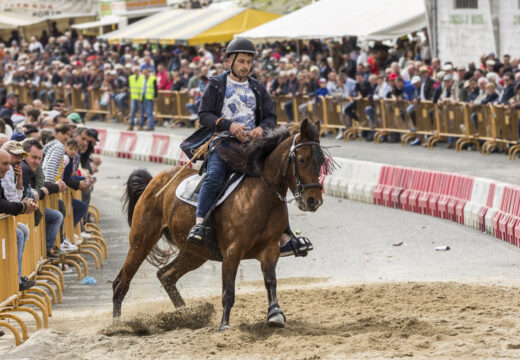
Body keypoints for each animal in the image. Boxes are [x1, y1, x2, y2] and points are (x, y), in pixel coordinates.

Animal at [115, 119, 330, 332]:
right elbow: (228, 290)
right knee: (121, 283)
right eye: (301, 160)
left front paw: (275, 314)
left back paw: (186, 315)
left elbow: (271, 281)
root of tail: (154, 182)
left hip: (194, 253)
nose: (314, 201)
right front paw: (224, 325)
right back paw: (117, 325)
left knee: (166, 276)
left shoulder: (270, 249)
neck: (259, 197)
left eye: (321, 163)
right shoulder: (232, 252)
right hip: (141, 241)